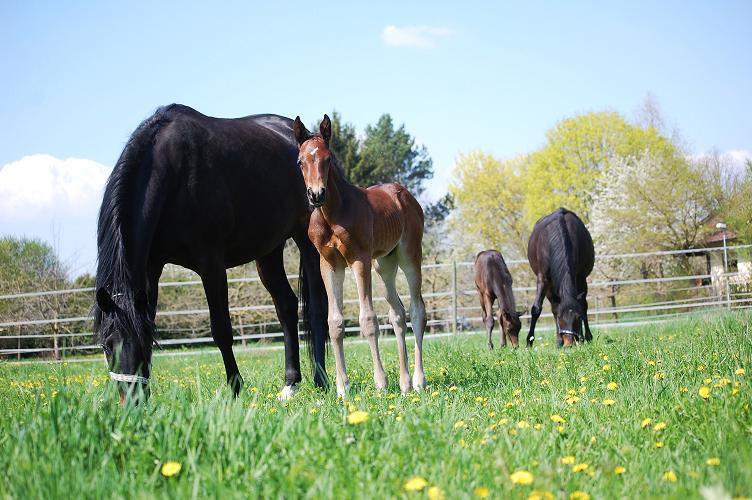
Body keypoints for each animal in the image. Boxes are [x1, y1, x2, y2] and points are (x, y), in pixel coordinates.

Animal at [92, 103, 328, 400]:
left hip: (306, 241)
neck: (174, 174)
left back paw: (321, 380)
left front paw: (236, 388)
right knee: (286, 306)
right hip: (268, 250)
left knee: (317, 308)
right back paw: (290, 383)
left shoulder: (211, 264)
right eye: (106, 346)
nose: (132, 402)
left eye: (141, 342)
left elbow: (221, 330)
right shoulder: (152, 267)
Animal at [292, 115, 426, 396]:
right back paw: (405, 383)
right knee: (398, 313)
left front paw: (381, 383)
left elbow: (368, 319)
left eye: (327, 158)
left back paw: (419, 380)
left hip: (409, 256)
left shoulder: (359, 260)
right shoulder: (329, 265)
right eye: (300, 161)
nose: (316, 194)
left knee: (417, 310)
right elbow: (335, 322)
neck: (332, 214)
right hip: (384, 264)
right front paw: (342, 387)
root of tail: (404, 194)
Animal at [528, 207, 592, 348]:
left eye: (578, 318)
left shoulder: (580, 277)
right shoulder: (543, 279)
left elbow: (583, 306)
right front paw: (529, 341)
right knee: (554, 307)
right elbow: (536, 308)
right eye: (560, 319)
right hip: (550, 287)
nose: (569, 343)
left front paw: (585, 338)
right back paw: (558, 341)